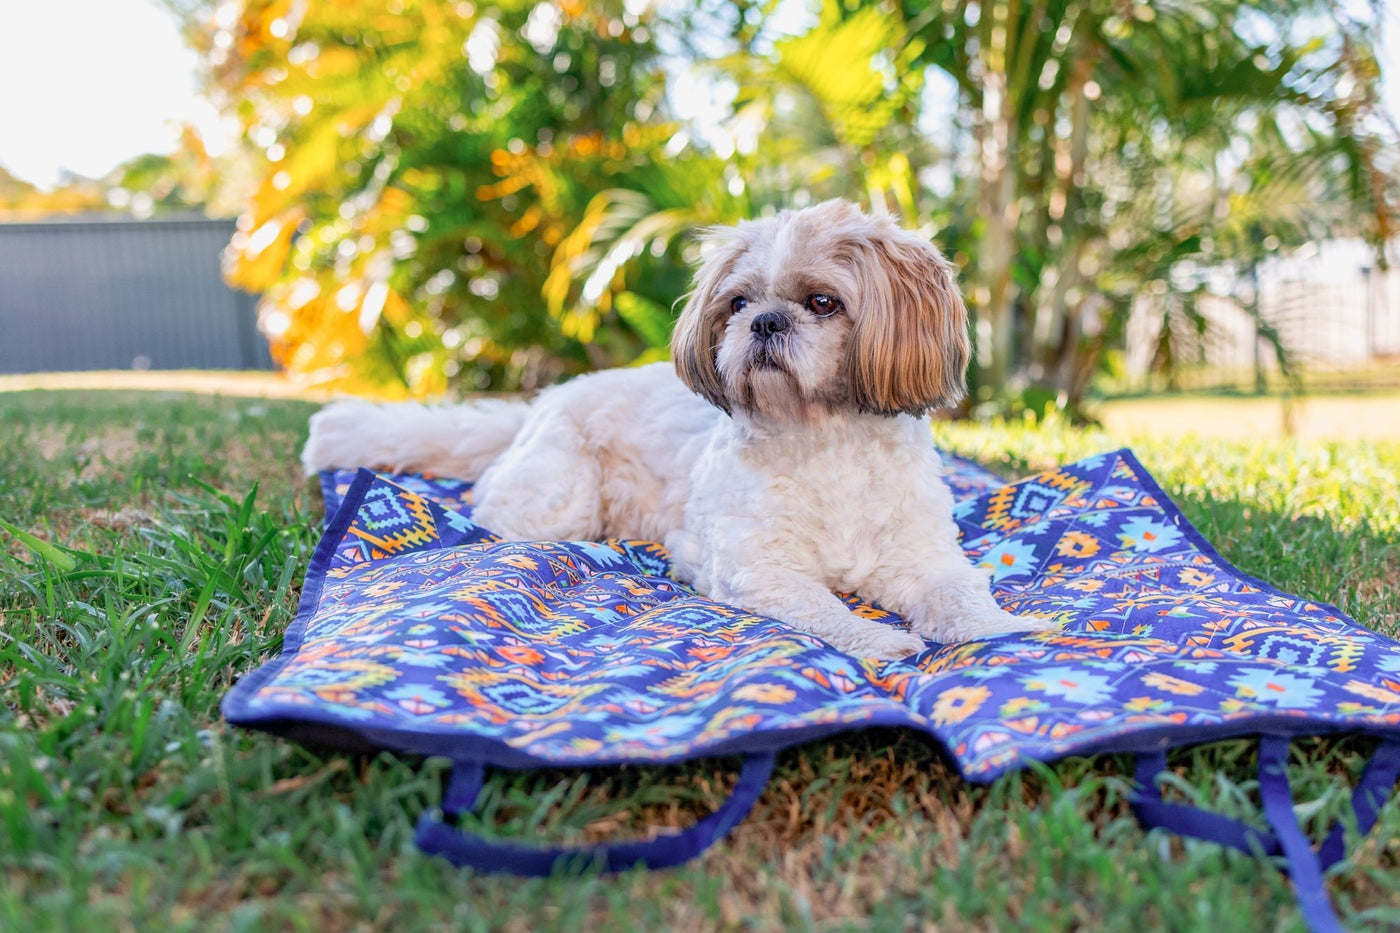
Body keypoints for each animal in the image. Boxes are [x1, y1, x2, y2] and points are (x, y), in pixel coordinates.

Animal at [303, 200, 1052, 658]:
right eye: (738, 303)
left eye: (822, 303)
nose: (765, 322)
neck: (826, 437)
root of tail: (543, 399)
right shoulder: (758, 569)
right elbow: (820, 605)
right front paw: (878, 640)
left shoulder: (921, 558)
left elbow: (958, 592)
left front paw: (1001, 627)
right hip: (559, 501)